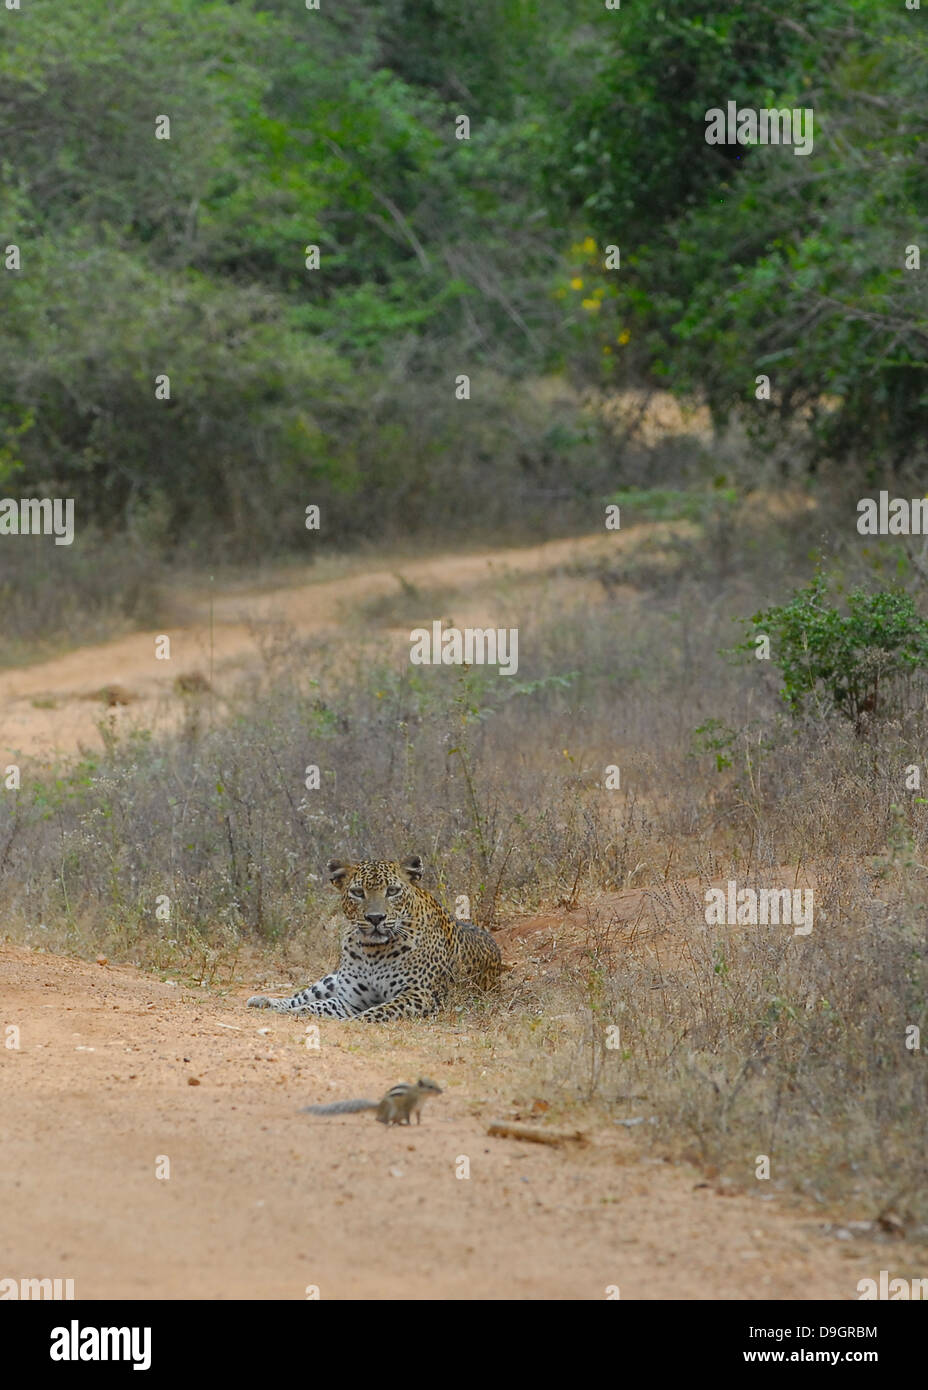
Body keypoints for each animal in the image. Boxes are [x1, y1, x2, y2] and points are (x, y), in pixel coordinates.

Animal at [245, 845, 500, 1023]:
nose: (375, 918)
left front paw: (352, 1021)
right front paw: (293, 1011)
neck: (373, 952)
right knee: (303, 995)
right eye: (358, 892)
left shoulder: (419, 995)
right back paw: (265, 1001)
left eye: (393, 891)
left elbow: (379, 1011)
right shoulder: (349, 999)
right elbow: (317, 1005)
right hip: (331, 979)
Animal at [298, 1078, 441, 1123]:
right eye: (431, 1087)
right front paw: (410, 1124)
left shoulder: (418, 1109)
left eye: (435, 1084)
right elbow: (408, 1116)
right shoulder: (408, 1106)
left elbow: (418, 1116)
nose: (441, 1091)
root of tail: (379, 1106)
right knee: (381, 1118)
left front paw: (418, 1123)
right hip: (391, 1108)